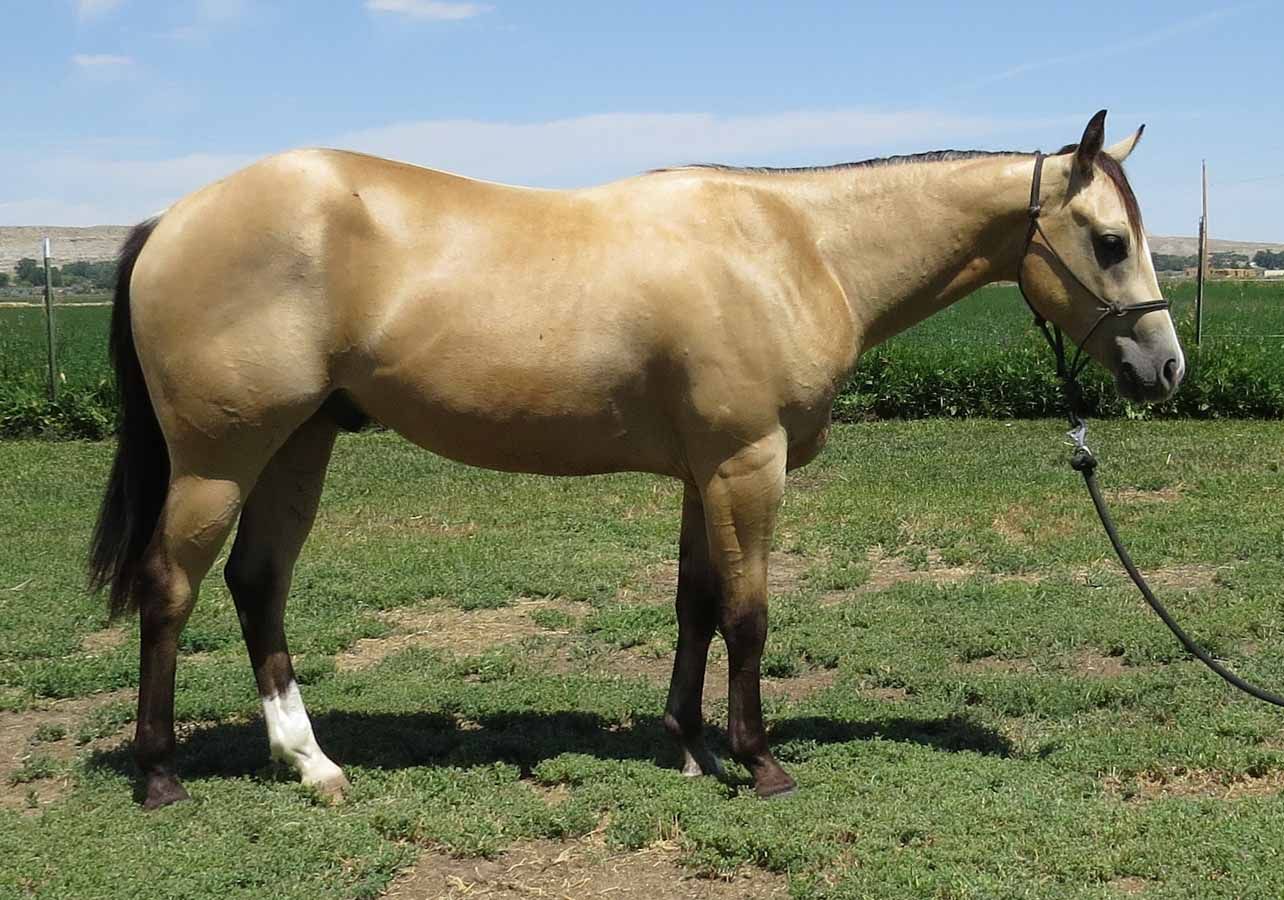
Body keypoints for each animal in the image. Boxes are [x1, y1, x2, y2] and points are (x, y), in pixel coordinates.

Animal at [89, 109, 1184, 809]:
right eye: (1108, 239)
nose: (1165, 368)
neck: (794, 248)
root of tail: (172, 220)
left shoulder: (706, 473)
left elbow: (695, 604)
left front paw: (691, 746)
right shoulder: (748, 464)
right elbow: (748, 614)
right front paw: (759, 761)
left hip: (298, 444)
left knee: (258, 583)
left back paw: (309, 763)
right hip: (219, 460)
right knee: (172, 590)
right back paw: (160, 774)